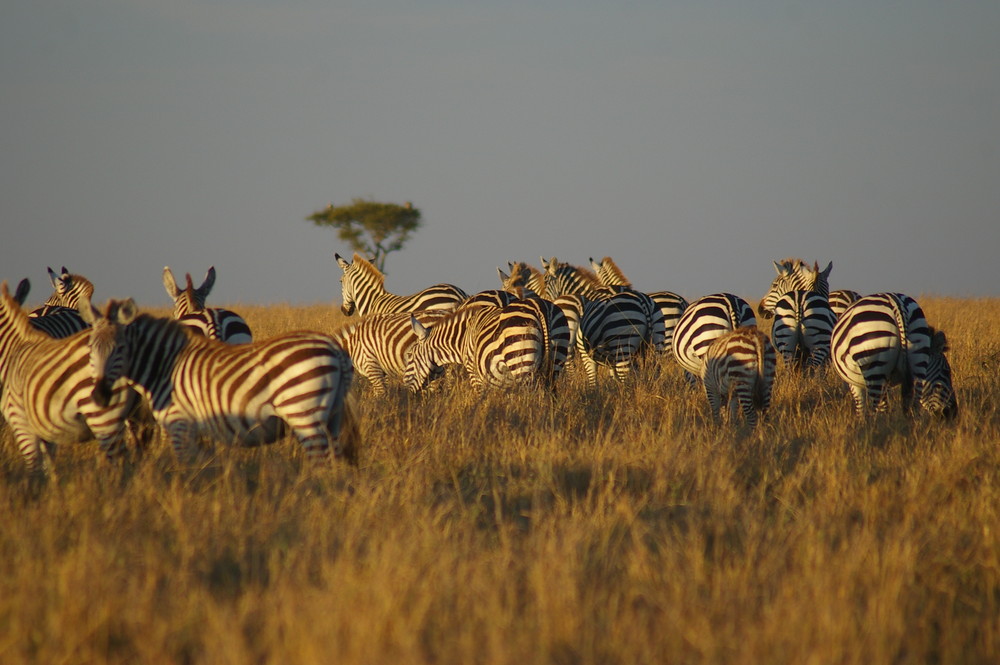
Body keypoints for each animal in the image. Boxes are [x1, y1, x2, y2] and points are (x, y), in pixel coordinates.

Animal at [85, 300, 360, 462]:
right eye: (90, 348)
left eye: (120, 348)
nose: (98, 395)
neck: (165, 365)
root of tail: (335, 350)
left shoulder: (178, 422)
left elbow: (184, 467)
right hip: (332, 416)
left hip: (303, 413)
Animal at [402, 300, 544, 390]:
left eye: (410, 355)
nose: (404, 390)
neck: (463, 338)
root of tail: (536, 314)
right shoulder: (501, 380)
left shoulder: (474, 373)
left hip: (520, 365)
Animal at [828, 294, 960, 418]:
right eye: (946, 371)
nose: (952, 413)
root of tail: (897, 302)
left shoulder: (856, 384)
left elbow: (862, 407)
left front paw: (862, 423)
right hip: (918, 357)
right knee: (915, 404)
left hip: (874, 364)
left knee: (877, 407)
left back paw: (877, 426)